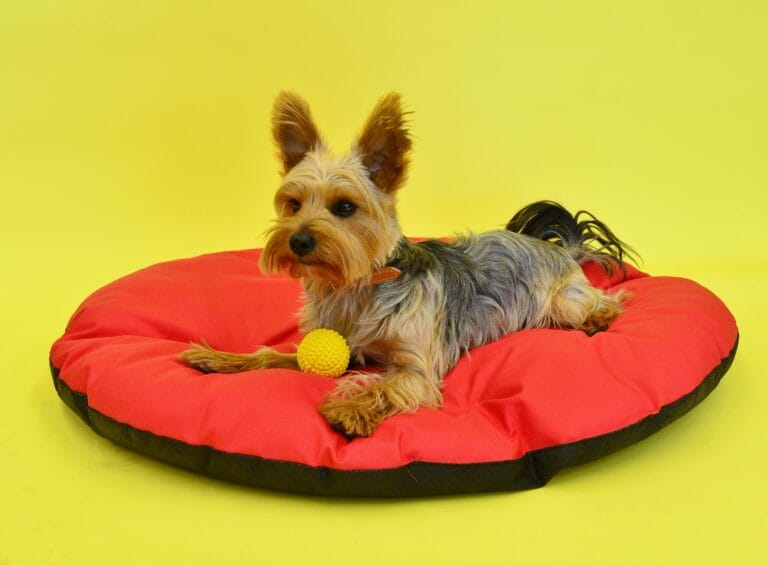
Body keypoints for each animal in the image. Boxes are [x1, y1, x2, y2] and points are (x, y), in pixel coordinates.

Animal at [182, 91, 636, 436]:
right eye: (293, 204)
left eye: (344, 207)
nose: (298, 241)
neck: (358, 285)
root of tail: (560, 248)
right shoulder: (333, 344)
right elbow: (271, 355)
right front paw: (221, 359)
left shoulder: (417, 368)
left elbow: (389, 384)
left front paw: (351, 410)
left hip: (564, 300)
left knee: (606, 300)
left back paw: (597, 318)